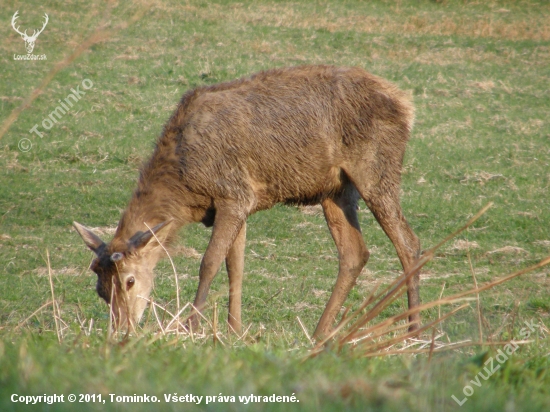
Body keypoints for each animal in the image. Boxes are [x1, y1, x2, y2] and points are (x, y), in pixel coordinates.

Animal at [74, 66, 422, 340]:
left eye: (130, 280)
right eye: (101, 289)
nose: (122, 329)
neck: (186, 188)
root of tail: (407, 105)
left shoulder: (233, 194)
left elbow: (209, 262)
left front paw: (191, 327)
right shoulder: (236, 205)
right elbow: (236, 266)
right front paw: (234, 329)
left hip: (376, 170)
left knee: (408, 242)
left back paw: (414, 330)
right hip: (335, 190)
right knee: (355, 252)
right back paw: (321, 332)